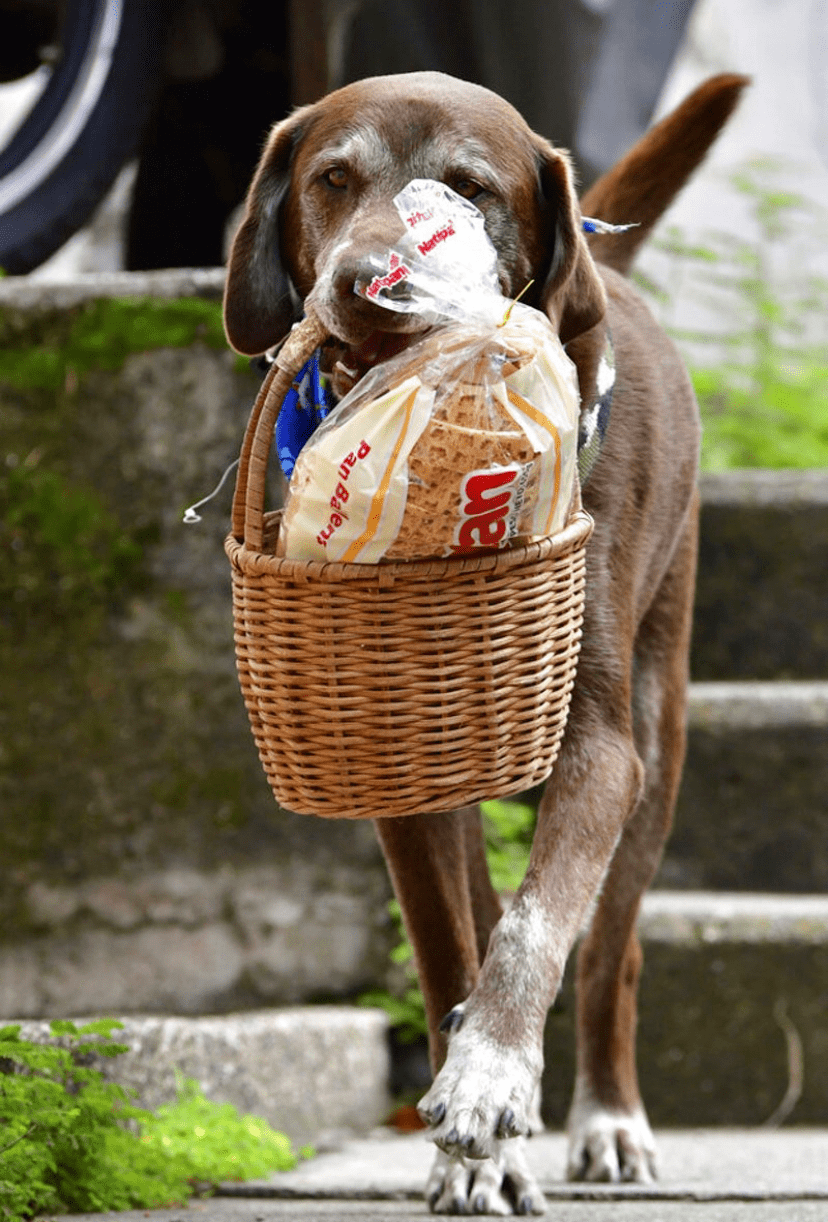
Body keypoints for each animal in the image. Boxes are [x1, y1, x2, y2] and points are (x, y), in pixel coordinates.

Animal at [223, 71, 747, 1217]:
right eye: (333, 179)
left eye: (467, 188)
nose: (371, 285)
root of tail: (611, 268)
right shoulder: (402, 764)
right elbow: (448, 944)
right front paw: (472, 1142)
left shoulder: (600, 747)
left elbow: (539, 923)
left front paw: (493, 1074)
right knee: (486, 905)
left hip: (663, 726)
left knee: (612, 952)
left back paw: (609, 1119)